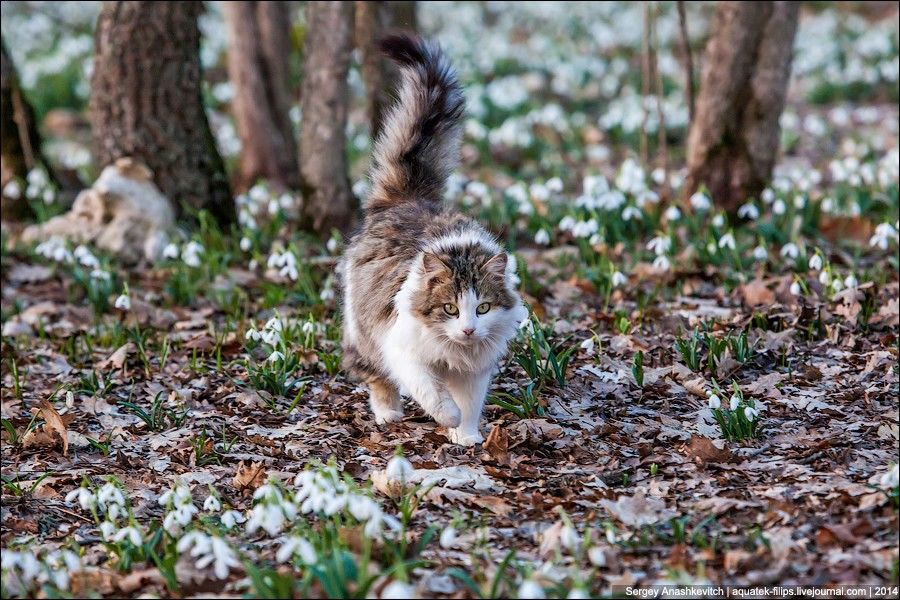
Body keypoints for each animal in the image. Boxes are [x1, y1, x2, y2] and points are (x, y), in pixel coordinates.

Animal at [342, 34, 528, 446]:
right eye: (450, 309)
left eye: (483, 308)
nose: (469, 329)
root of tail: (407, 198)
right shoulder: (403, 349)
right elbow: (431, 391)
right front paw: (449, 417)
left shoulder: (474, 370)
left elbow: (471, 403)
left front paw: (467, 435)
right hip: (364, 331)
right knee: (376, 376)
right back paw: (389, 414)